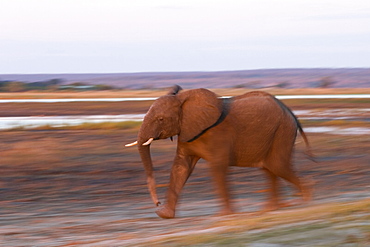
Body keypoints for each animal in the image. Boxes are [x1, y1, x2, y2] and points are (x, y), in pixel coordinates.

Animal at [126, 85, 312, 218]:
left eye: (161, 119)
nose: (157, 204)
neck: (183, 100)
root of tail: (290, 111)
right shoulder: (187, 132)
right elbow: (180, 167)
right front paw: (164, 215)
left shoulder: (218, 134)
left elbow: (217, 167)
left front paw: (226, 215)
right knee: (270, 168)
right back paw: (270, 209)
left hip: (283, 130)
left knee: (277, 166)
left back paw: (306, 198)